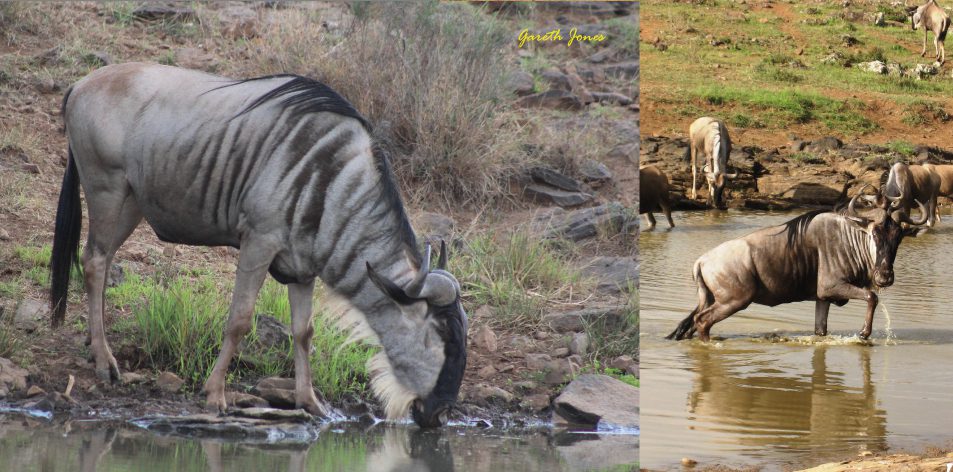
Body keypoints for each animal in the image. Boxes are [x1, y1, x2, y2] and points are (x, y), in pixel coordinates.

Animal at [52, 62, 468, 428]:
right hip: (107, 190)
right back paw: (105, 362)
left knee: (103, 261)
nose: (440, 415)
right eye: (441, 337)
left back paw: (96, 346)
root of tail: (81, 84)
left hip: (132, 202)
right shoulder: (258, 242)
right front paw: (215, 394)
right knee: (94, 261)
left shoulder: (302, 268)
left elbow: (304, 332)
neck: (330, 182)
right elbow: (239, 319)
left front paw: (310, 402)